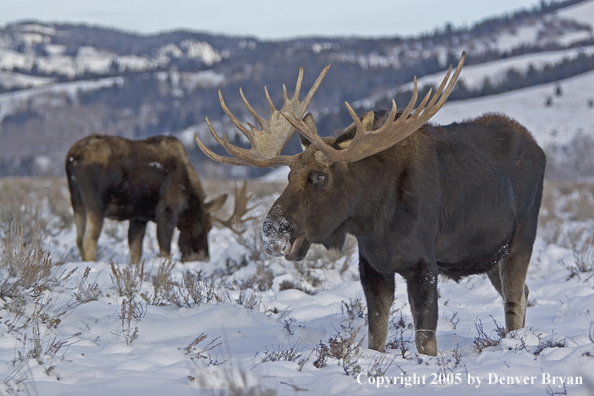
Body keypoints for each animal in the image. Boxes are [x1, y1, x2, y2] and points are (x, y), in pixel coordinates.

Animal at [65, 135, 254, 264]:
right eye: (208, 228)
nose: (204, 257)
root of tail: (72, 157)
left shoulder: (138, 218)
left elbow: (135, 253)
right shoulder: (167, 212)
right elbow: (165, 250)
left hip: (77, 204)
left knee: (78, 239)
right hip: (96, 205)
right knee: (89, 241)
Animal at [195, 51, 544, 358]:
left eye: (320, 176)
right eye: (289, 174)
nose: (272, 230)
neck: (376, 218)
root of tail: (538, 147)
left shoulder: (423, 265)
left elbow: (425, 341)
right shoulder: (372, 265)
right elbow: (376, 334)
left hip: (521, 240)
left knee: (514, 300)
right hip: (491, 256)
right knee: (523, 293)